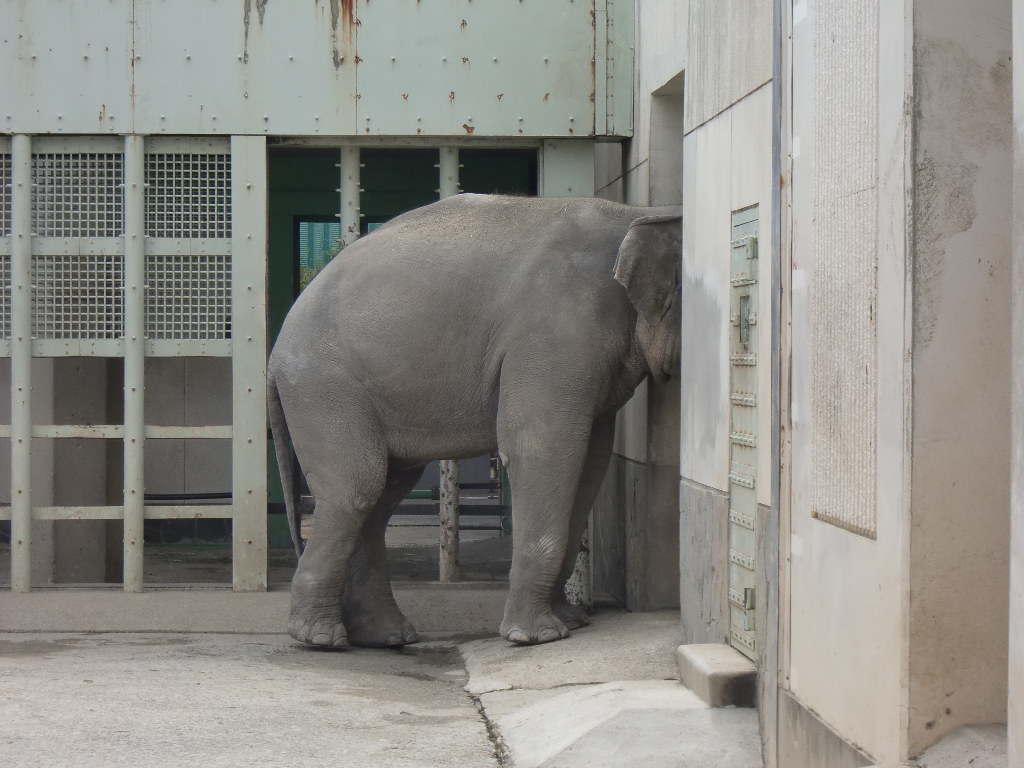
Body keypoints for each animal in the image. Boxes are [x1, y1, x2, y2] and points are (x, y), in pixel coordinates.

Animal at [266, 192, 679, 651]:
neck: (636, 215)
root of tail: (274, 354)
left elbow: (591, 463)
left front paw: (571, 622)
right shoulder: (554, 335)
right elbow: (541, 450)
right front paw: (537, 638)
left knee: (382, 492)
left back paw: (385, 637)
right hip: (324, 389)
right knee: (356, 487)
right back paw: (320, 638)